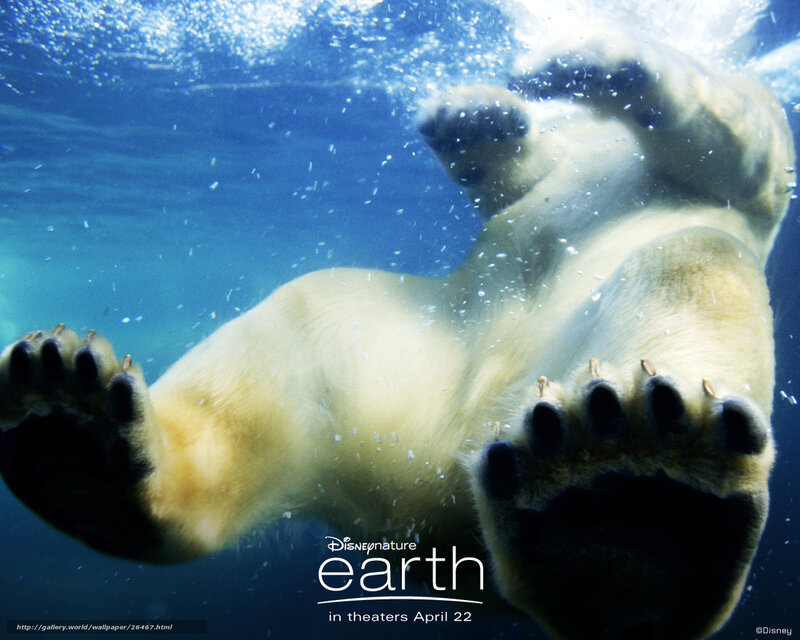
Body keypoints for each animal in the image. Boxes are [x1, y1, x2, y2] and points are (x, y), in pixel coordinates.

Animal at [0, 28, 794, 640]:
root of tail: (432, 494)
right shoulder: (548, 169)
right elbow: (515, 179)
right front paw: (470, 112)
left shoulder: (738, 177)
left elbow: (737, 151)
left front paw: (591, 59)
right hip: (380, 355)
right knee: (276, 345)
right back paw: (71, 424)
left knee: (691, 264)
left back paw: (630, 493)